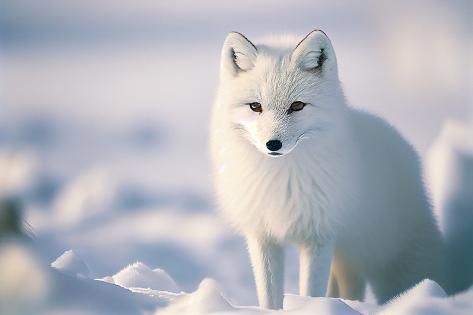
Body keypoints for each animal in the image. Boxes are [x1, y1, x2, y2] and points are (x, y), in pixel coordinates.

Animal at [209, 30, 446, 310]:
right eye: (255, 106)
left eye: (297, 106)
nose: (273, 144)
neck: (282, 180)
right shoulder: (263, 236)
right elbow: (268, 297)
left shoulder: (319, 236)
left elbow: (311, 292)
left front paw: (313, 307)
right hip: (347, 260)